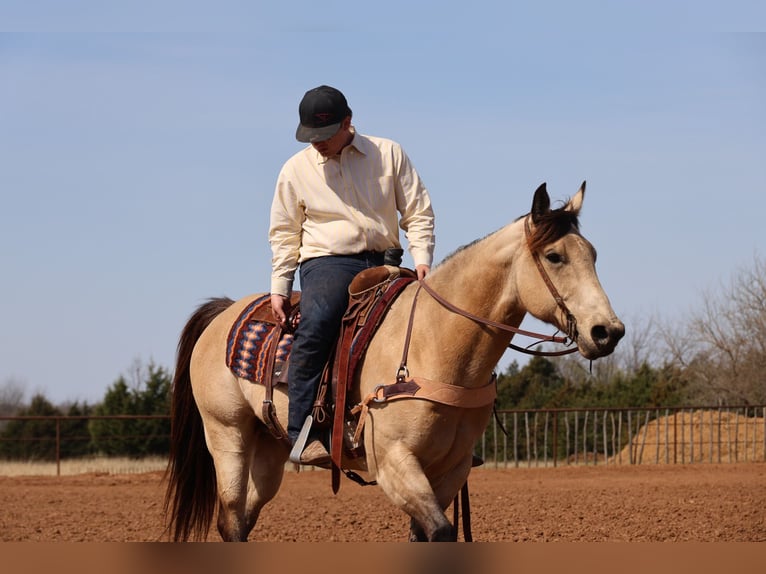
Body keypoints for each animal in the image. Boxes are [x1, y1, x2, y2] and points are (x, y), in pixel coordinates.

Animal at [163, 182, 625, 542]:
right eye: (554, 257)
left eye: (593, 254)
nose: (608, 331)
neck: (434, 343)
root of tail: (225, 311)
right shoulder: (393, 464)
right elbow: (441, 531)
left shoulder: (452, 468)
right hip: (228, 437)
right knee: (231, 520)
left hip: (269, 451)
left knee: (244, 518)